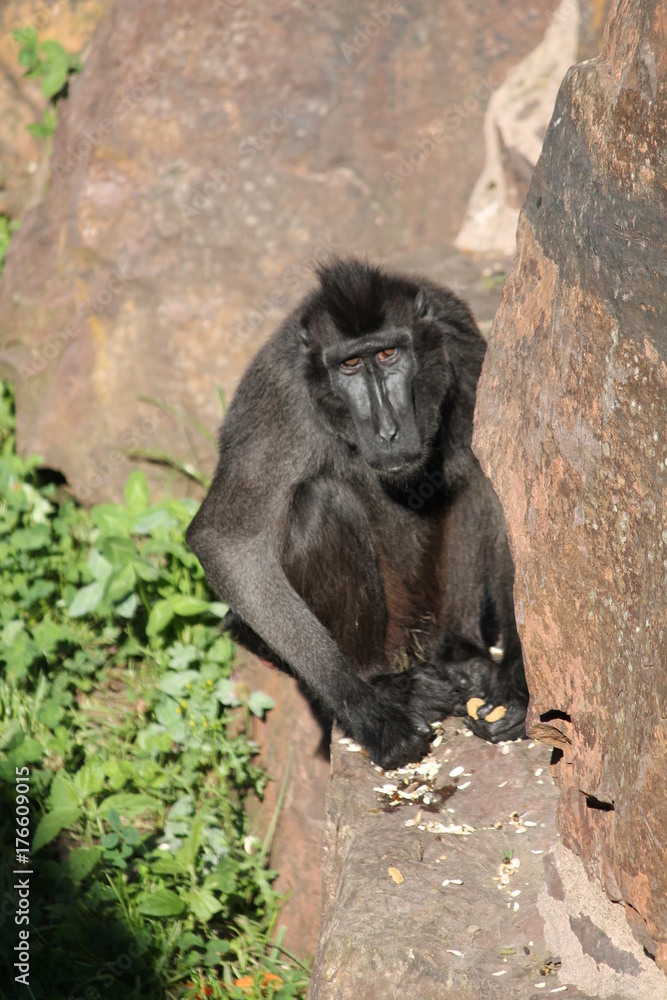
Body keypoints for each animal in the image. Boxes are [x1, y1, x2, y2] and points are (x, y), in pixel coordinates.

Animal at [186, 257, 528, 770]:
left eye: (388, 354)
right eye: (348, 365)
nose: (387, 430)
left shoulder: (462, 343)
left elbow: (508, 492)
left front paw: (519, 684)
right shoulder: (281, 392)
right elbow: (226, 540)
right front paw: (372, 717)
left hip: (431, 613)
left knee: (474, 476)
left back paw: (461, 654)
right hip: (394, 633)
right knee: (321, 502)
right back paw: (385, 683)